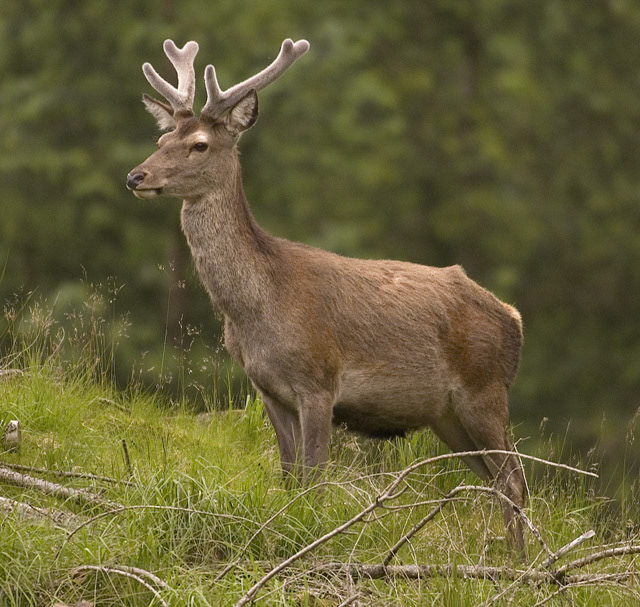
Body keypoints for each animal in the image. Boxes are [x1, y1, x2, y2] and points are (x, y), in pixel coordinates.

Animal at [126, 38, 527, 553]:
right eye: (161, 141)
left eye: (200, 145)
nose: (136, 176)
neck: (259, 307)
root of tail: (513, 318)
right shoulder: (268, 389)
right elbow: (289, 476)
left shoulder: (319, 381)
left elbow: (315, 478)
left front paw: (313, 540)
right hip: (448, 415)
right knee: (496, 481)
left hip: (485, 391)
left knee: (514, 479)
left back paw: (522, 563)